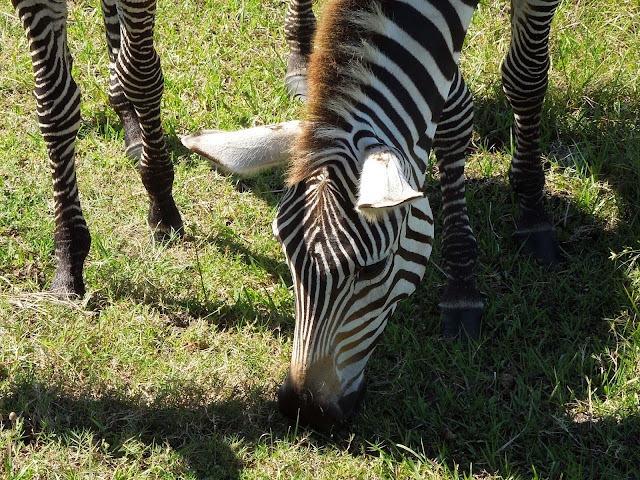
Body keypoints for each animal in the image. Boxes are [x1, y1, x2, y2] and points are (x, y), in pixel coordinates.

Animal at [182, 0, 564, 432]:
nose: (303, 411)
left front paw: (527, 212)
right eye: (289, 262)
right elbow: (452, 113)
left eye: (373, 269)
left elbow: (524, 78)